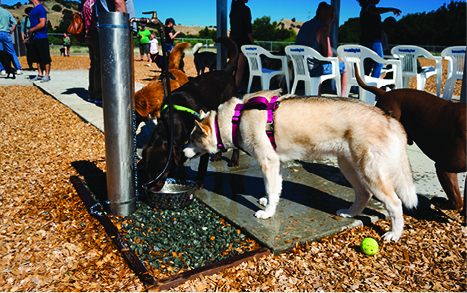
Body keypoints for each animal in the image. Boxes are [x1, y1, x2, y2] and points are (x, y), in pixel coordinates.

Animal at [184, 90, 420, 241]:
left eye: (193, 139)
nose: (183, 151)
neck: (236, 118)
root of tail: (389, 119)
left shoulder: (267, 162)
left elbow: (271, 189)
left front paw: (267, 213)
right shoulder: (275, 163)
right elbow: (274, 189)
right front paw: (268, 202)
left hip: (369, 172)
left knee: (395, 204)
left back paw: (395, 233)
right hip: (349, 167)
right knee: (364, 194)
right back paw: (350, 212)